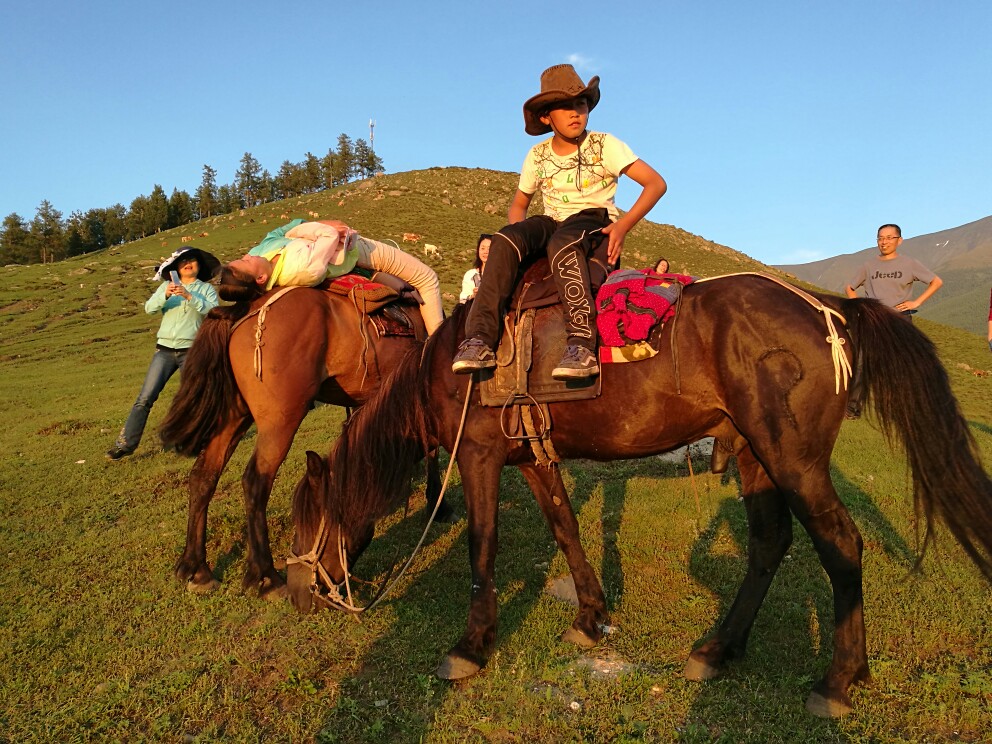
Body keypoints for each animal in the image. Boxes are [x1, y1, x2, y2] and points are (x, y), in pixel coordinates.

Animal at [161, 280, 448, 600]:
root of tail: (239, 311)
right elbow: (430, 447)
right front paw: (437, 503)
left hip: (234, 415)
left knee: (204, 475)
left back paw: (195, 568)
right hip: (281, 419)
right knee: (255, 481)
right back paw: (266, 577)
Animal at [286, 276, 992, 716]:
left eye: (306, 522)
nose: (296, 595)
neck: (453, 365)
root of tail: (828, 310)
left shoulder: (480, 455)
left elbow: (482, 548)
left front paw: (470, 646)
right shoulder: (533, 456)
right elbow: (565, 526)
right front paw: (589, 616)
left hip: (793, 458)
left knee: (840, 543)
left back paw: (840, 681)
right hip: (756, 455)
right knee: (769, 543)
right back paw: (717, 650)